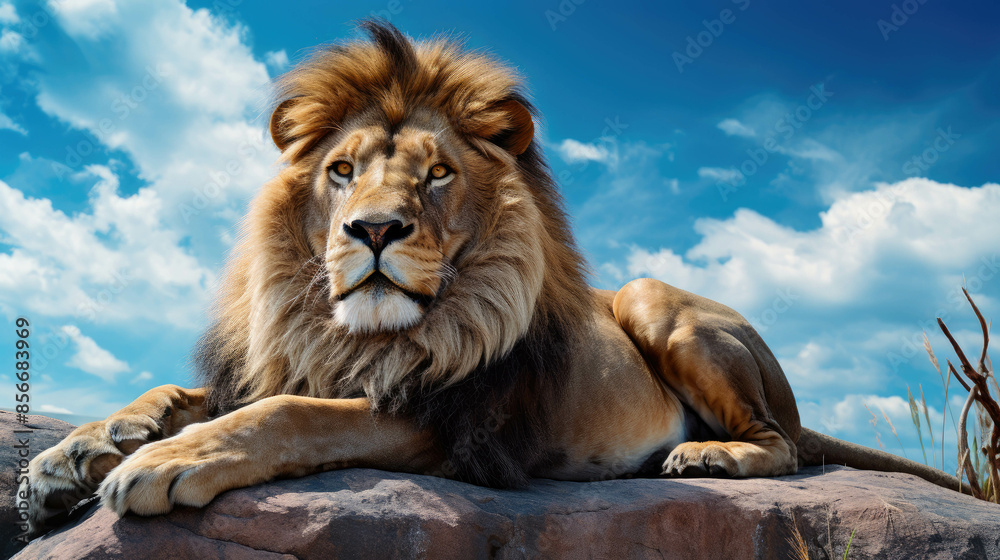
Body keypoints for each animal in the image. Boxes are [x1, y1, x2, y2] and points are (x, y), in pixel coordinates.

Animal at [21, 20, 966, 536]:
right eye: (341, 171)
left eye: (438, 174)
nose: (374, 230)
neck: (347, 331)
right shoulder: (276, 363)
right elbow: (179, 393)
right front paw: (71, 455)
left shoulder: (456, 425)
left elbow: (290, 414)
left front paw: (165, 461)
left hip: (655, 302)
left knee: (784, 447)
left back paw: (708, 453)